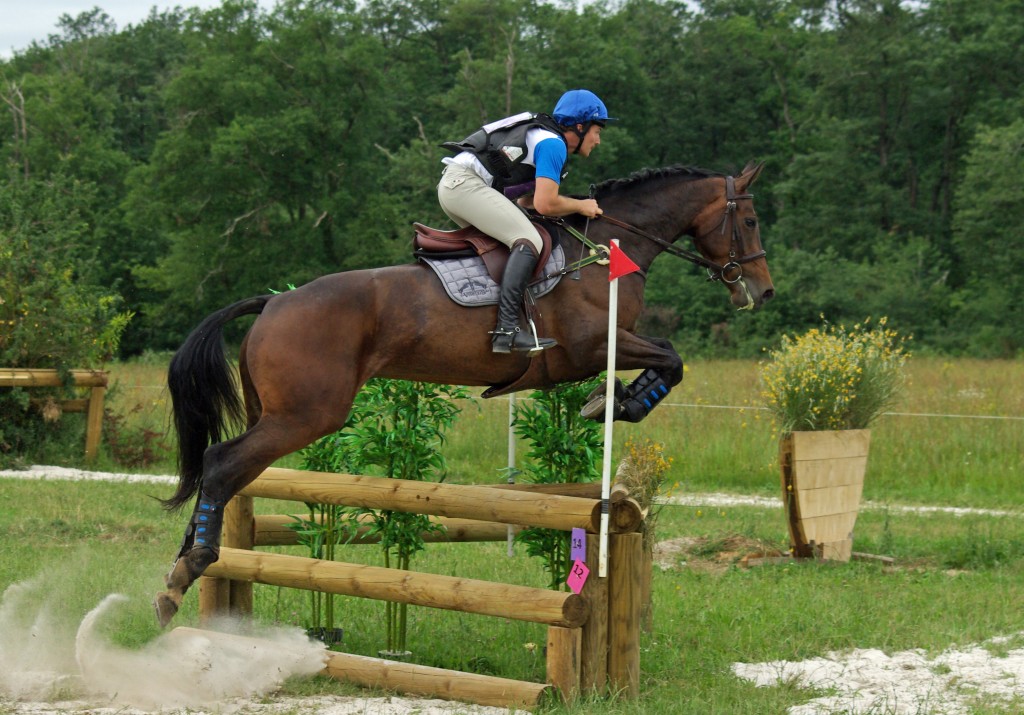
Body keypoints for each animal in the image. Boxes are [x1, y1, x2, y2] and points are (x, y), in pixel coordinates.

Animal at [153, 159, 770, 622]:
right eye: (751, 219)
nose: (761, 291)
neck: (601, 250)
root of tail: (273, 302)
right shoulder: (595, 345)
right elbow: (671, 358)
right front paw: (616, 402)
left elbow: (668, 358)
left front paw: (613, 401)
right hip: (305, 415)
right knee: (221, 463)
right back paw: (187, 571)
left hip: (278, 413)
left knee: (227, 471)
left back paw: (180, 570)